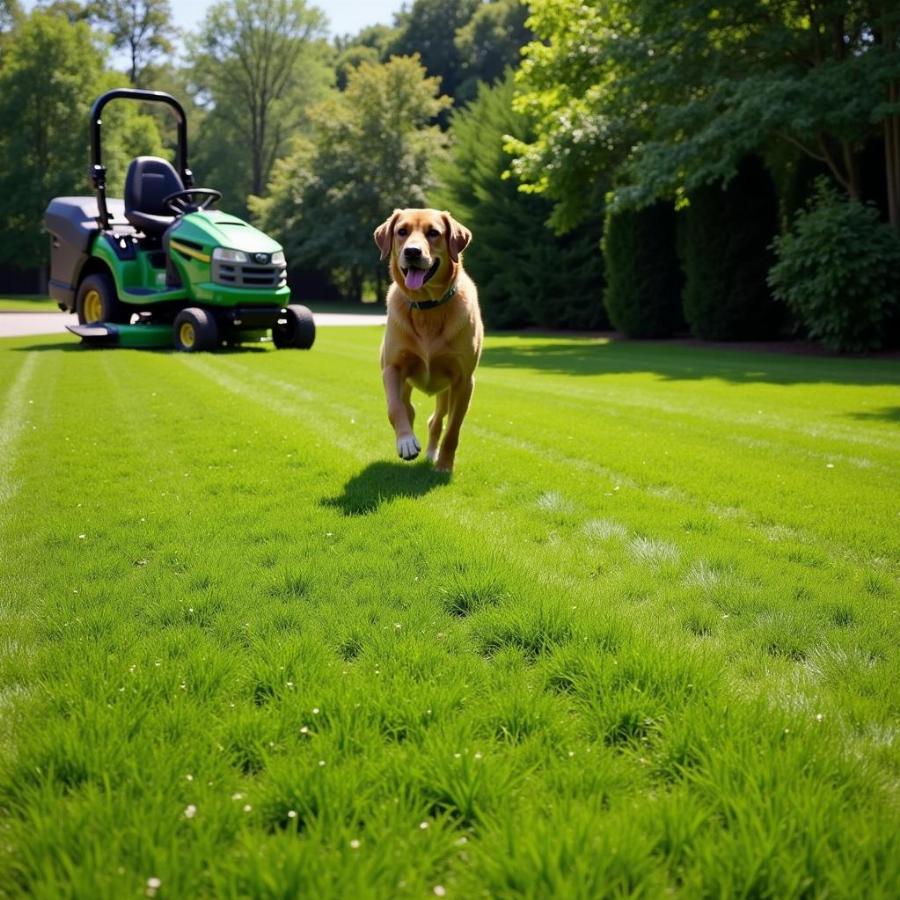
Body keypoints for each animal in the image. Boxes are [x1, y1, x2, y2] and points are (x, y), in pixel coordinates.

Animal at [374, 208, 486, 474]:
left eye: (433, 233)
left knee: (436, 421)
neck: (427, 308)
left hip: (445, 392)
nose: (412, 251)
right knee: (409, 408)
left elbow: (453, 428)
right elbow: (395, 408)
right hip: (407, 384)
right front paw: (406, 441)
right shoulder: (392, 368)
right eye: (401, 231)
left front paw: (444, 464)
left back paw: (432, 454)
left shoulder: (464, 381)